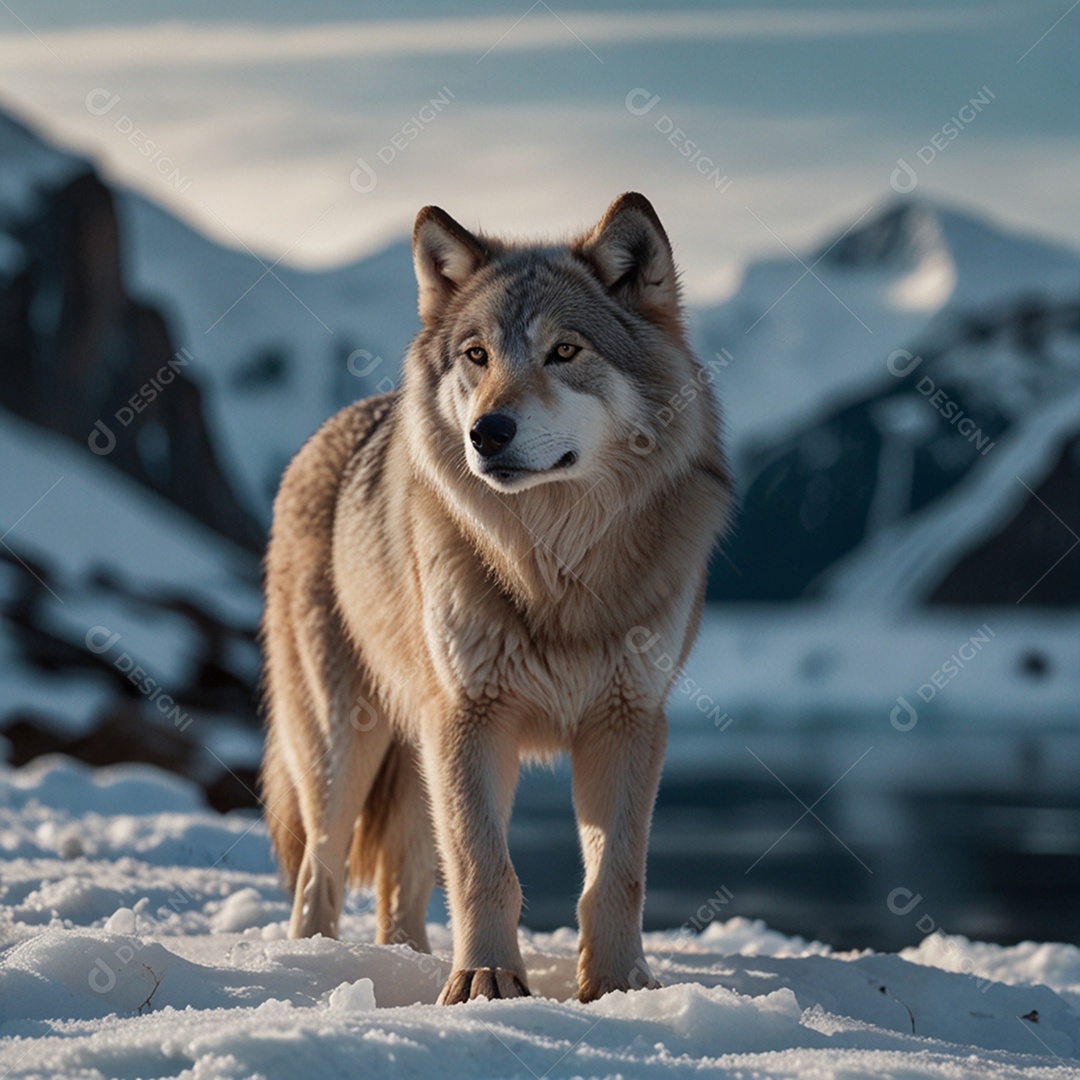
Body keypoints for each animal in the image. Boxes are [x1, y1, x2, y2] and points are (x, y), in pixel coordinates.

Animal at [259, 192, 731, 1004]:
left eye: (564, 352)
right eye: (477, 356)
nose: (487, 432)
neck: (555, 569)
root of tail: (334, 426)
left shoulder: (628, 721)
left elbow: (616, 877)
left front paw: (618, 988)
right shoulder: (472, 717)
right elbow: (485, 868)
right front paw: (484, 981)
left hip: (415, 753)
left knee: (403, 880)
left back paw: (406, 960)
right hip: (343, 744)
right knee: (320, 870)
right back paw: (320, 966)